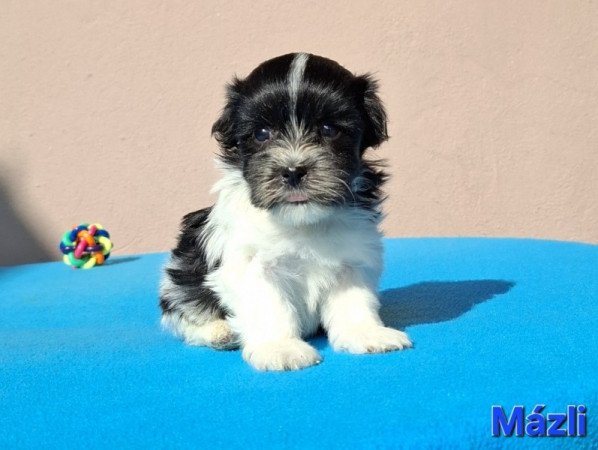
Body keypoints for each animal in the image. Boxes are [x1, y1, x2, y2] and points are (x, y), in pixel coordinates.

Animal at [159, 52, 412, 370]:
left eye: (329, 129)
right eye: (261, 134)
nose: (293, 171)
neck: (303, 221)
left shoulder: (352, 259)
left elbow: (354, 301)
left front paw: (366, 333)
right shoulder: (254, 264)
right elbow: (270, 306)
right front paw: (280, 348)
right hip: (180, 275)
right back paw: (219, 331)